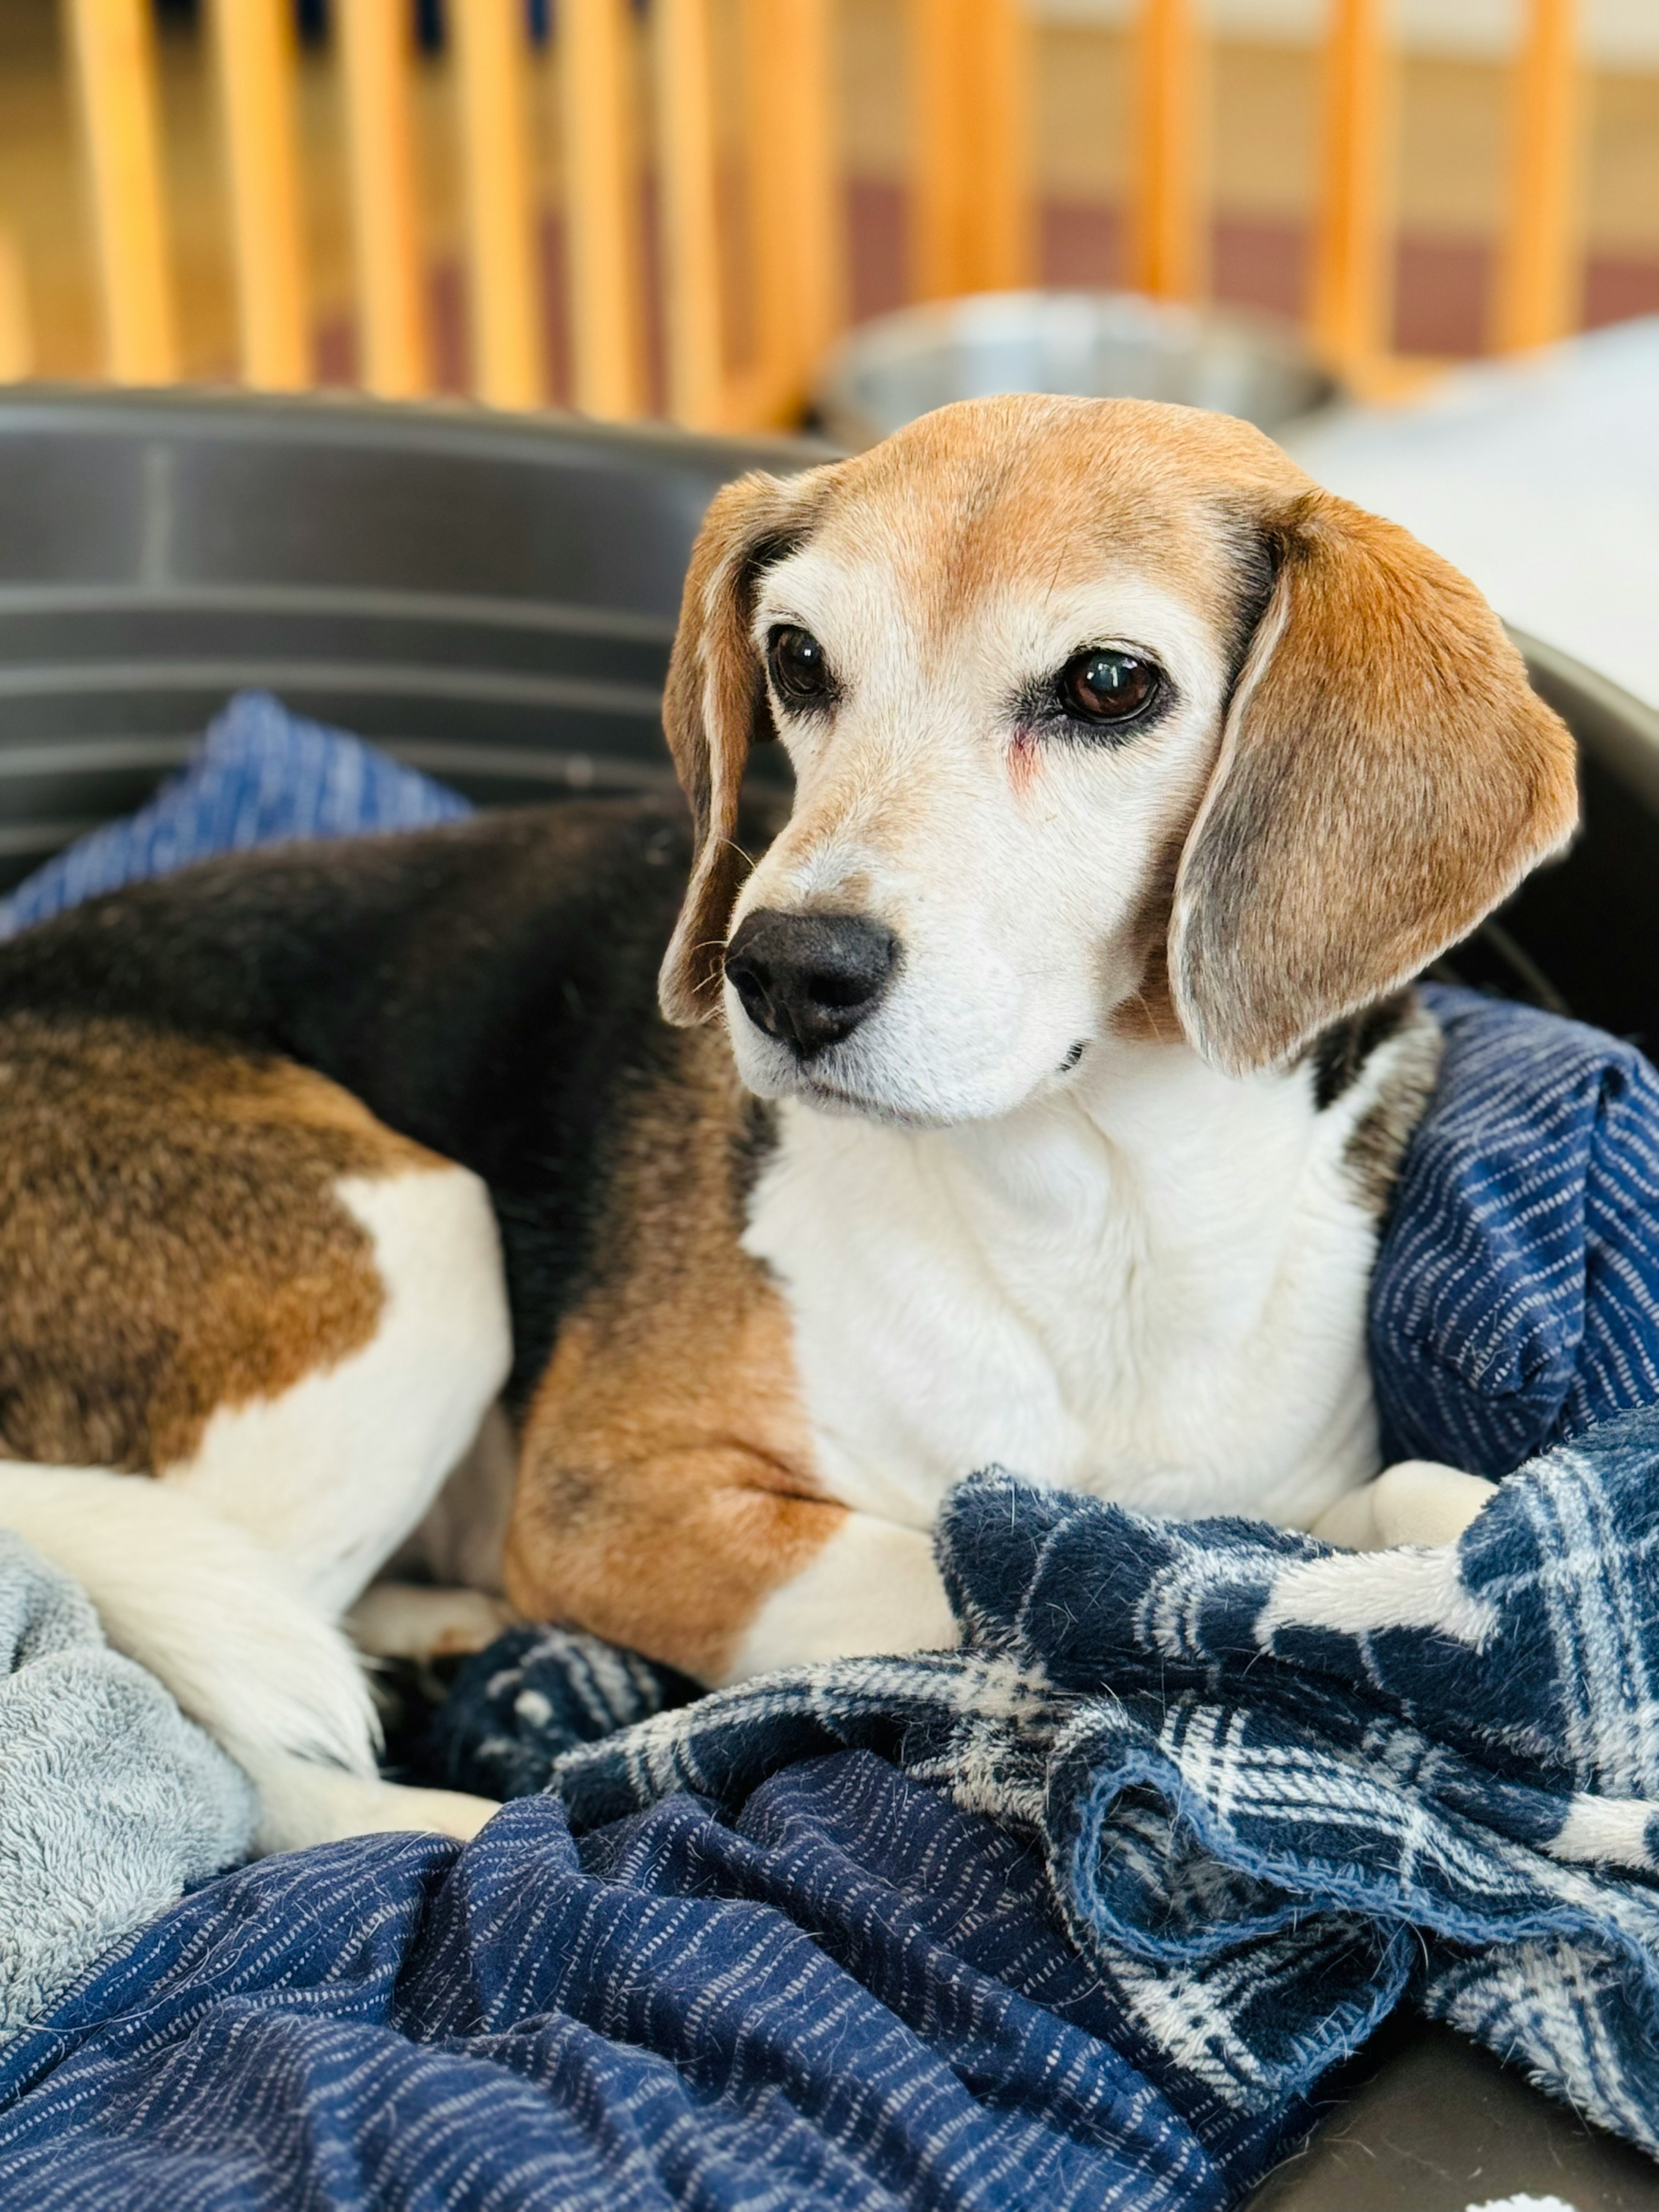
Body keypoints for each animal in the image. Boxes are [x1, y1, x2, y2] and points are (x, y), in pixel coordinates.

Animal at [0, 402, 1583, 1849]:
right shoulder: (621, 1504)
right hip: (415, 1247)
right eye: (799, 660)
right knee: (224, 1730)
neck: (1089, 1212)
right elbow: (1014, 1593)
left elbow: (1352, 1525)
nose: (781, 972)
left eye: (1109, 684)